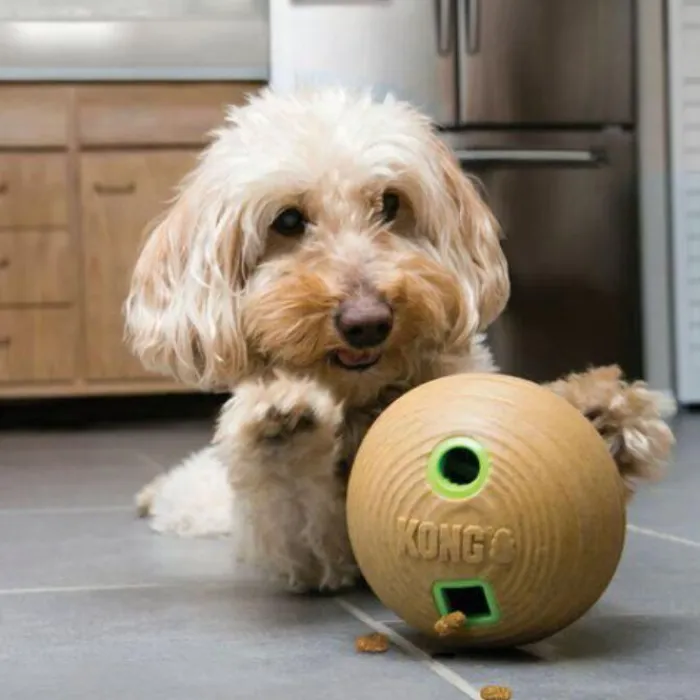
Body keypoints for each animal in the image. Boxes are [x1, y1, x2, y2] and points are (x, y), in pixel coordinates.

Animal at [123, 86, 676, 592]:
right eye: (288, 220)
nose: (367, 321)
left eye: (390, 203)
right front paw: (281, 422)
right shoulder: (312, 549)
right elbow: (295, 502)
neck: (366, 398)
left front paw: (600, 413)